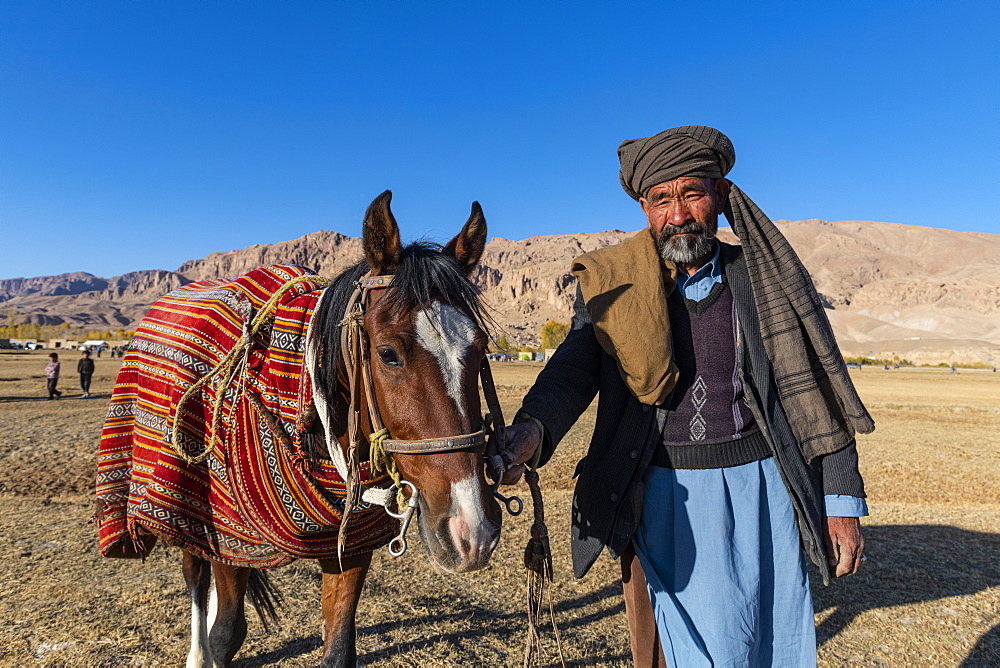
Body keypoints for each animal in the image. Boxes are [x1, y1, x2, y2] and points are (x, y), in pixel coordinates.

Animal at [94, 190, 512, 664]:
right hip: (181, 505)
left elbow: (338, 646)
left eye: (480, 349)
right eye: (388, 354)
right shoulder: (225, 535)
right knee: (196, 577)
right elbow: (225, 634)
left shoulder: (348, 548)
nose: (472, 532)